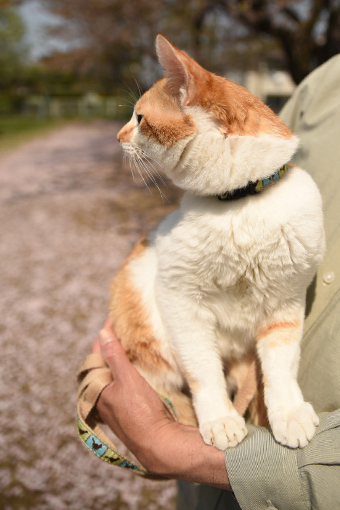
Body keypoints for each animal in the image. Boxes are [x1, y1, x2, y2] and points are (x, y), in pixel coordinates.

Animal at [110, 34, 326, 450]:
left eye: (139, 119)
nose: (118, 137)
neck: (240, 201)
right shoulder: (179, 302)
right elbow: (202, 370)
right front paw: (220, 419)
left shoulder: (285, 305)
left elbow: (281, 367)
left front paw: (288, 412)